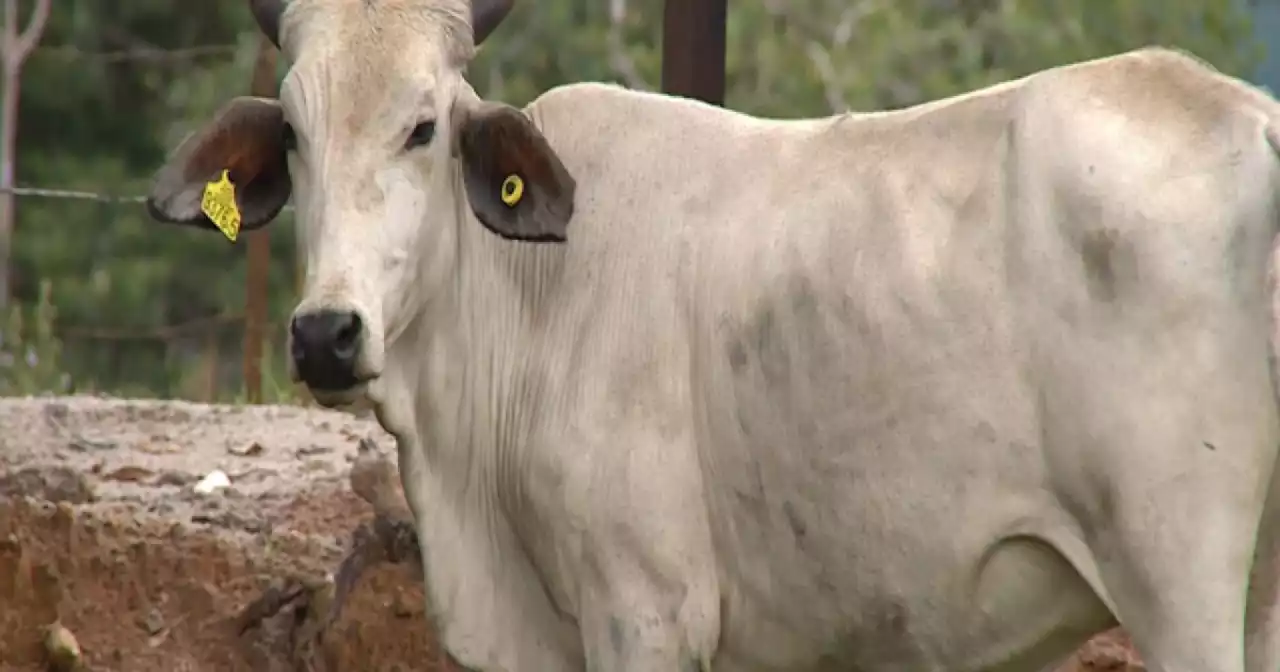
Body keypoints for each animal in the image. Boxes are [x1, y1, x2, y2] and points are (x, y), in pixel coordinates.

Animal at [145, 2, 1280, 665]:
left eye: (422, 127)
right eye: (294, 133)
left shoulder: (644, 613)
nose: (326, 335)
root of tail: (1256, 125)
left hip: (1177, 586)